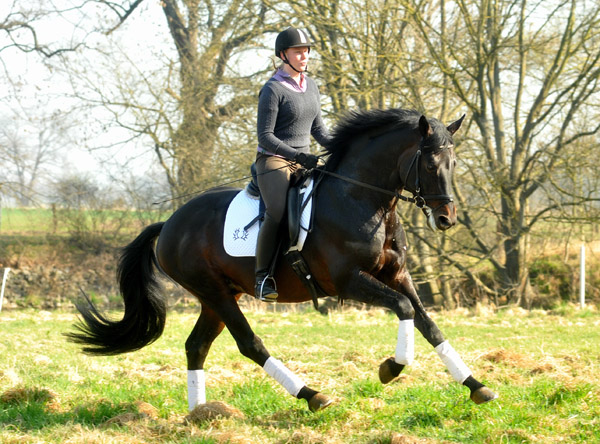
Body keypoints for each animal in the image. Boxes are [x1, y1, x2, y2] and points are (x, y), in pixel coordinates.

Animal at [67, 107, 496, 412]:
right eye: (429, 164)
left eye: (453, 165)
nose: (446, 219)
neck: (362, 199)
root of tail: (170, 223)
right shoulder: (350, 281)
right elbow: (405, 309)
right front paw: (391, 368)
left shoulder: (397, 275)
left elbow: (428, 324)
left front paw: (476, 386)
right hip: (215, 292)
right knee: (249, 344)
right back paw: (312, 395)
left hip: (217, 297)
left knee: (196, 347)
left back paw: (198, 414)